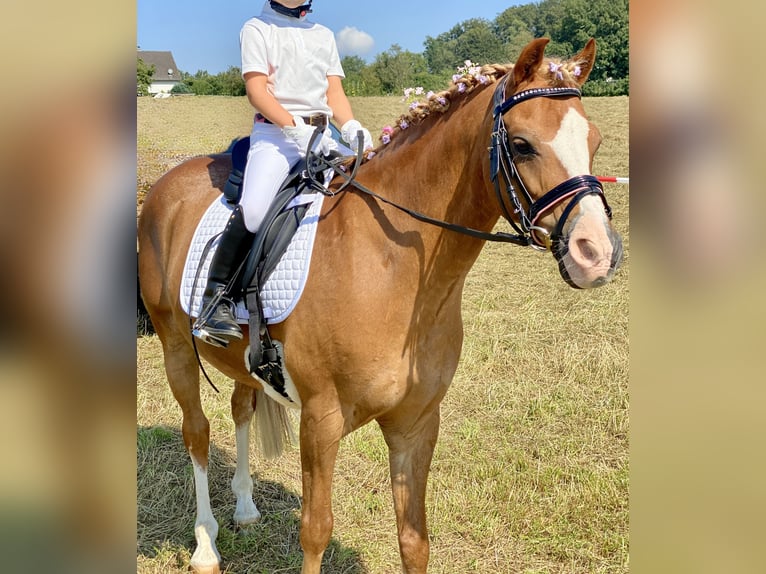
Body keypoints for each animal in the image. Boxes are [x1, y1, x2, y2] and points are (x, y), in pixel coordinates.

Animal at [138, 38, 623, 574]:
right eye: (521, 144)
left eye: (594, 141)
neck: (392, 270)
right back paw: (206, 544)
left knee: (241, 409)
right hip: (176, 348)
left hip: (243, 363)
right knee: (197, 433)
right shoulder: (320, 421)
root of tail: (168, 181)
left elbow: (414, 540)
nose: (597, 254)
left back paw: (244, 508)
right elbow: (316, 531)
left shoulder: (417, 424)